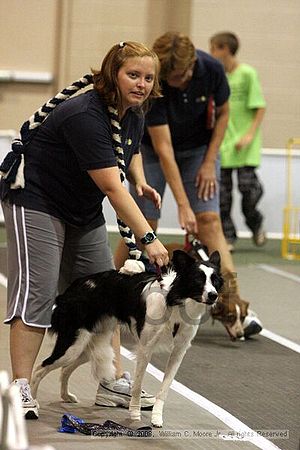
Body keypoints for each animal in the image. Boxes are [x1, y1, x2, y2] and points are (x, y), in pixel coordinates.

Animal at [31, 250, 223, 428]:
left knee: (64, 369)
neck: (175, 302)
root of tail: (73, 288)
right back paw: (32, 402)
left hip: (87, 346)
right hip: (72, 345)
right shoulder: (145, 348)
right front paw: (135, 414)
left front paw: (156, 418)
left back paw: (65, 396)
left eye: (215, 280)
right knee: (40, 368)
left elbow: (164, 389)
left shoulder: (179, 351)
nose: (213, 295)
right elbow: (137, 385)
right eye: (198, 279)